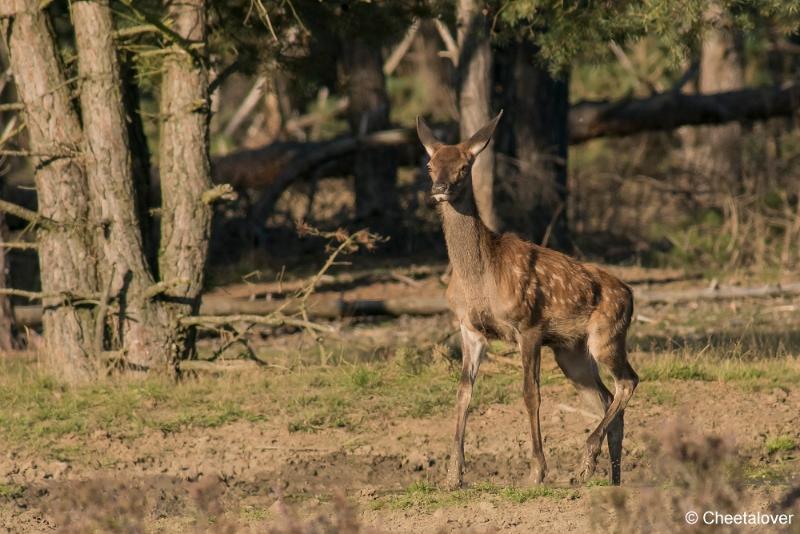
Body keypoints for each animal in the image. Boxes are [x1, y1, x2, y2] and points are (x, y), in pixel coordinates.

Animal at [418, 112, 636, 490]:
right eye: (430, 164)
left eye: (464, 165)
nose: (440, 189)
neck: (479, 278)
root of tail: (631, 294)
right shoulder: (469, 328)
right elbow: (463, 393)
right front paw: (453, 475)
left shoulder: (528, 324)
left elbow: (530, 393)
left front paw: (536, 472)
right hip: (571, 351)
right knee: (606, 397)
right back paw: (610, 478)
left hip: (607, 334)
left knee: (628, 381)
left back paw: (587, 458)